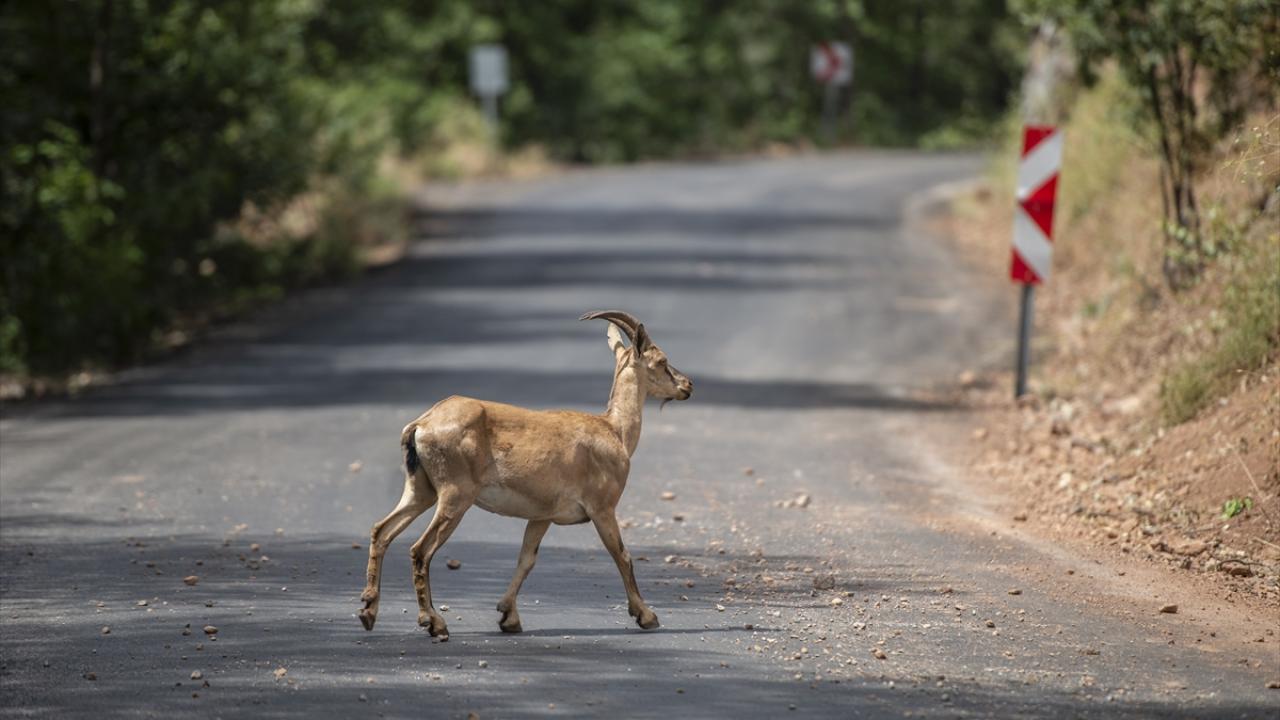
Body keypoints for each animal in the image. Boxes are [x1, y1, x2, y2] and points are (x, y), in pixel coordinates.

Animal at [358, 311, 693, 640]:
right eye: (661, 360)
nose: (687, 385)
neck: (614, 431)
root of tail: (421, 424)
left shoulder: (542, 515)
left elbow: (527, 559)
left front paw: (509, 617)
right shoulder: (602, 507)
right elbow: (622, 555)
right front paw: (647, 616)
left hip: (421, 489)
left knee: (381, 530)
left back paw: (368, 612)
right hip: (455, 494)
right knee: (420, 549)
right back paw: (434, 623)